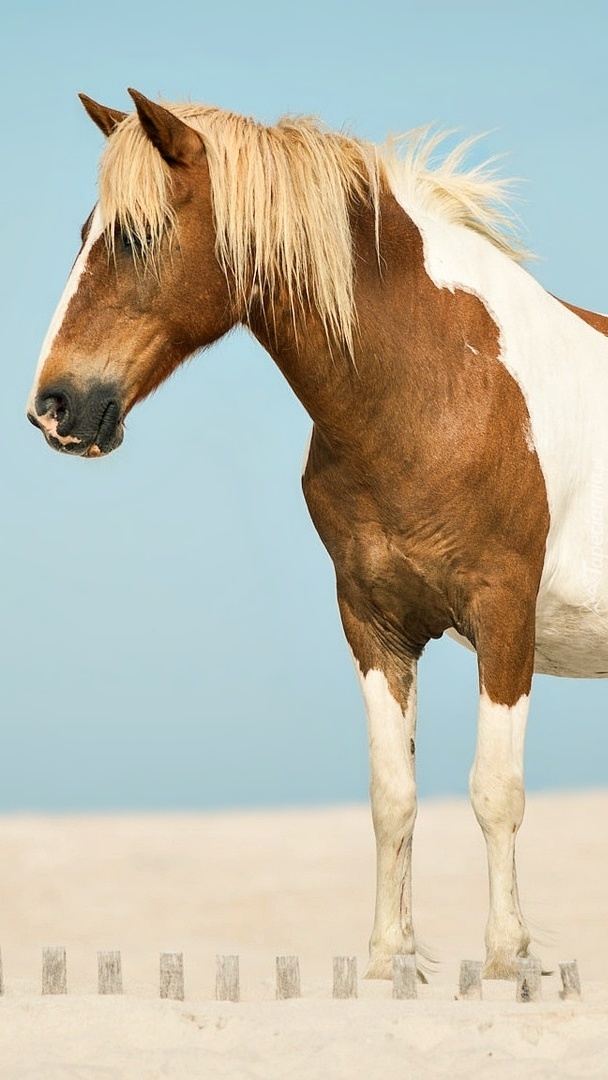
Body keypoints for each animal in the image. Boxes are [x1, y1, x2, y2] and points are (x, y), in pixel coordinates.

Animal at [26, 90, 608, 980]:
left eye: (136, 235)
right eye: (87, 231)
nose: (53, 406)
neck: (444, 382)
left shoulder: (505, 614)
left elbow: (495, 791)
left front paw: (509, 963)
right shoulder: (374, 625)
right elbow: (393, 796)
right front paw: (388, 963)